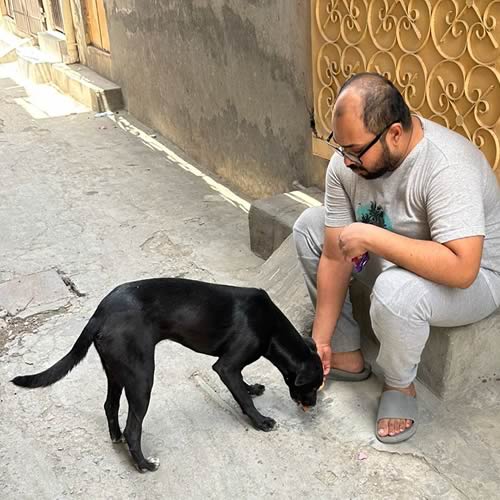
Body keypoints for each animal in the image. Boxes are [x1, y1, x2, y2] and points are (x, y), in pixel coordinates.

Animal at [12, 278, 324, 472]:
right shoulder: (226, 366)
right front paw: (261, 421)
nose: (313, 405)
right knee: (133, 428)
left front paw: (252, 388)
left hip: (117, 371)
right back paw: (143, 465)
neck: (272, 328)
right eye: (313, 387)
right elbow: (243, 400)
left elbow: (243, 387)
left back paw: (116, 438)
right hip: (141, 377)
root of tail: (100, 314)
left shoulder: (233, 367)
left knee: (110, 406)